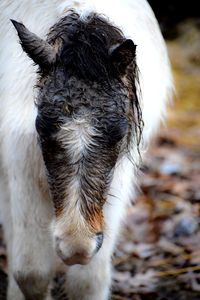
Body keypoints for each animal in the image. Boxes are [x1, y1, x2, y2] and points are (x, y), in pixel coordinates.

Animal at [0, 0, 172, 300]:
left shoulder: (119, 174)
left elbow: (87, 282)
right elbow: (31, 274)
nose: (76, 248)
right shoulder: (20, 162)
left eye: (118, 133)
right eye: (41, 127)